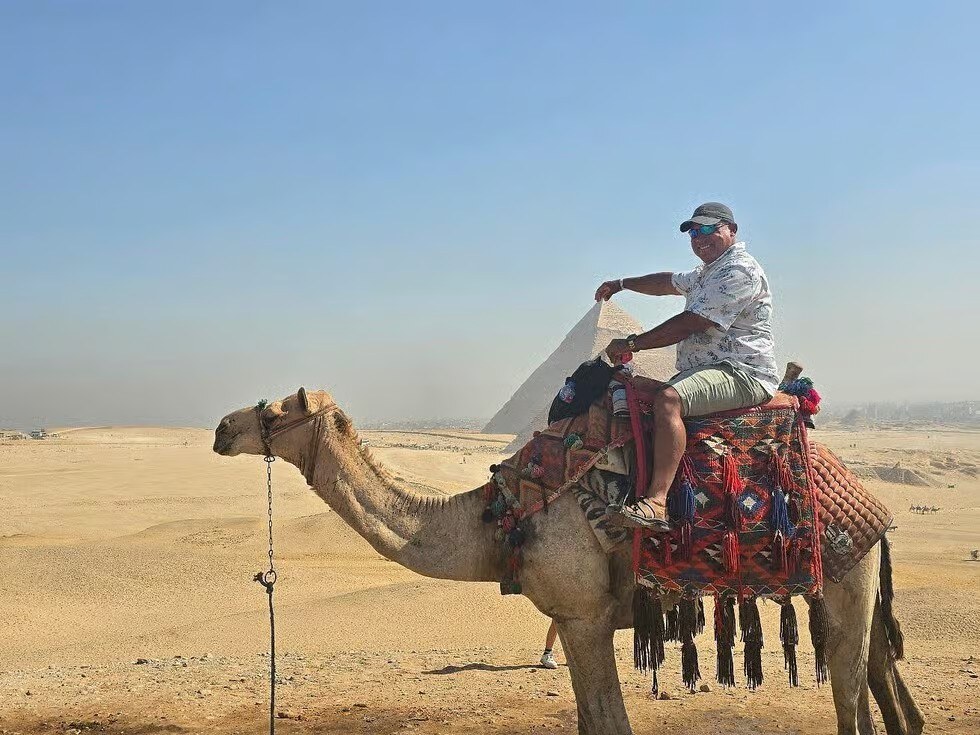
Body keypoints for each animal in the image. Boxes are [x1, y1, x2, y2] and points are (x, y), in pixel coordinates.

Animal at [213, 388, 924, 735]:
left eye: (275, 409)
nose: (221, 428)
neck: (497, 519)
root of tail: (869, 497)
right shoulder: (583, 621)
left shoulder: (583, 617)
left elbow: (609, 725)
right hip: (848, 583)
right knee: (884, 692)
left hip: (847, 574)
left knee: (852, 700)